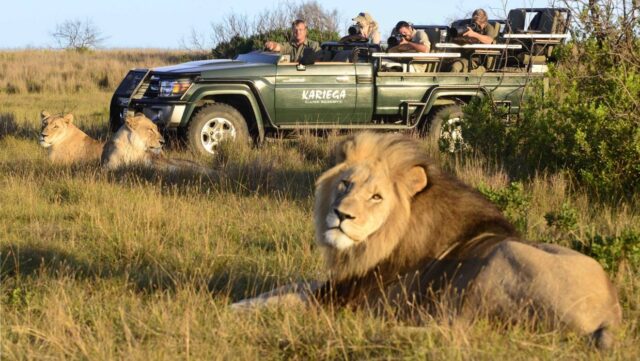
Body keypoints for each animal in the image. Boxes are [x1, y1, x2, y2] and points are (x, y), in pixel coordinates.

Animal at [234, 132, 620, 348]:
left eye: (376, 197)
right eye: (345, 184)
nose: (341, 215)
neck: (372, 246)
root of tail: (611, 314)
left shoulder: (344, 298)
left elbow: (287, 299)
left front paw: (234, 308)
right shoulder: (337, 283)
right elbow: (287, 287)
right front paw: (243, 301)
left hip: (499, 262)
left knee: (460, 330)